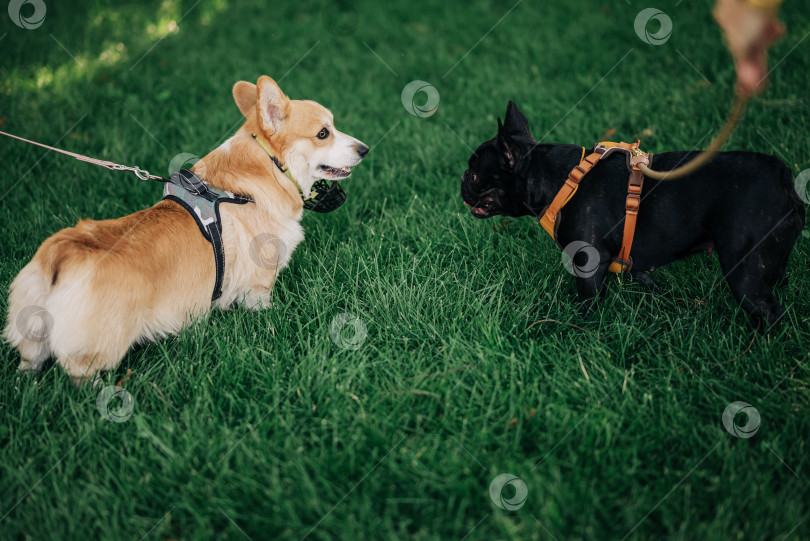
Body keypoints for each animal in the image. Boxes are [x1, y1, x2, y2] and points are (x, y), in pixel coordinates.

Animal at [3, 75, 368, 384]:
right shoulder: (258, 285)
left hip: (31, 334)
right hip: (99, 348)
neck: (268, 165)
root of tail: (58, 256)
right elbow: (264, 307)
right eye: (323, 133)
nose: (365, 149)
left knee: (29, 364)